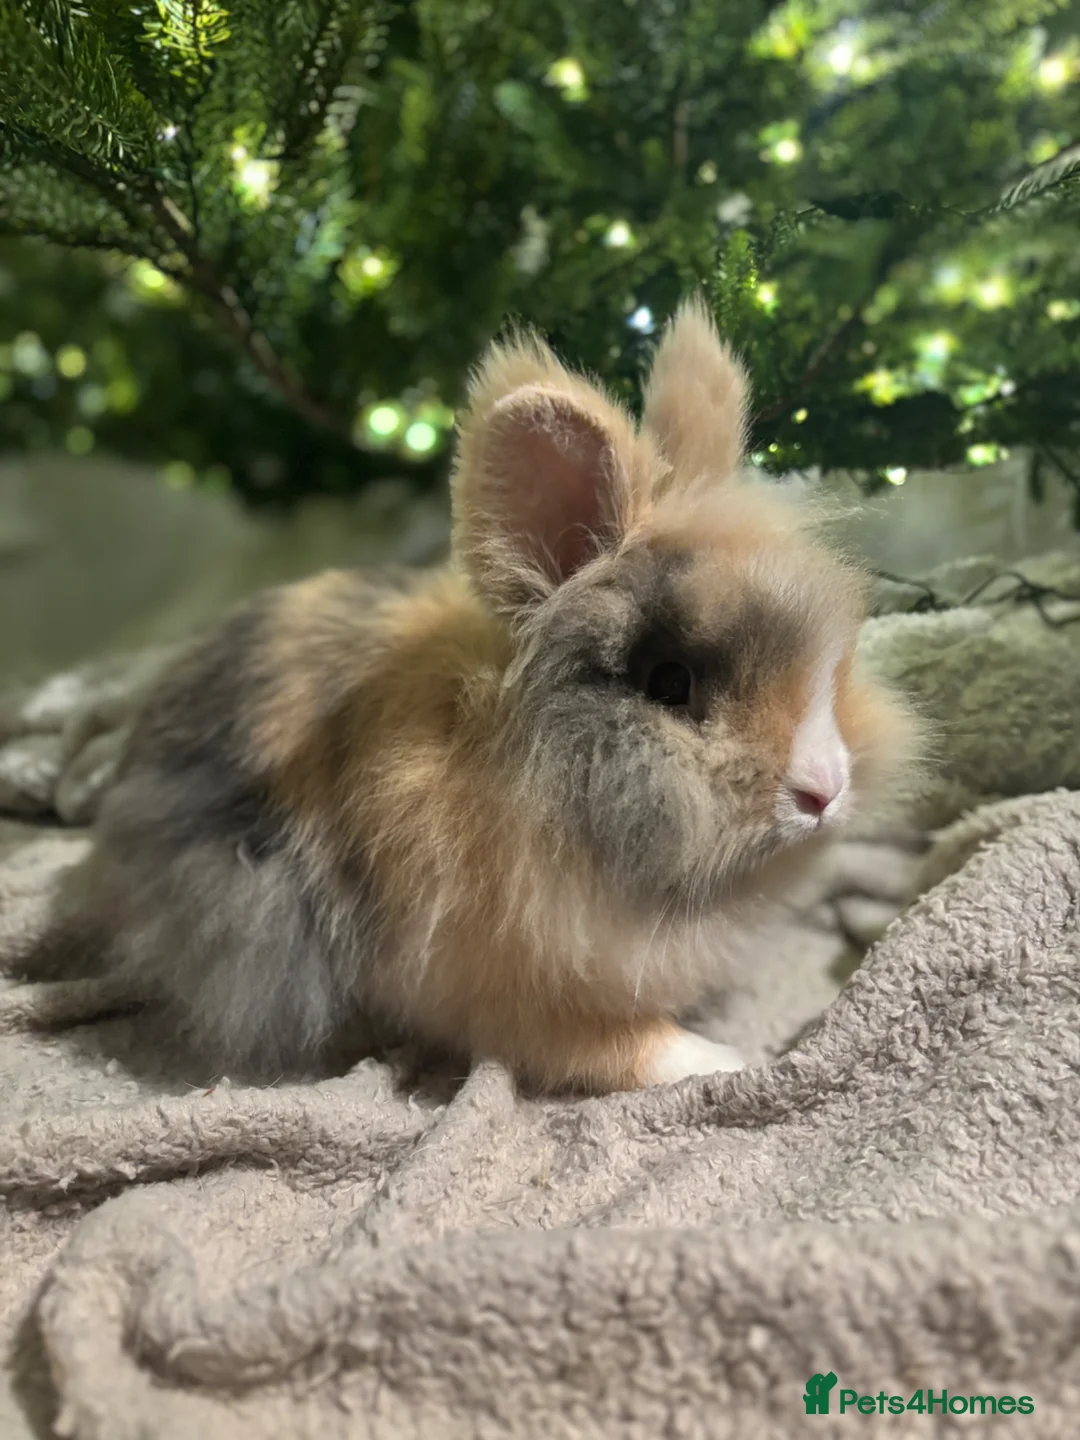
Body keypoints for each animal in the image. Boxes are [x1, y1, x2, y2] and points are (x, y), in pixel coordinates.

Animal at [25, 297, 917, 1093]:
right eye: (670, 683)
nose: (824, 790)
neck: (521, 780)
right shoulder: (496, 989)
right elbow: (615, 1045)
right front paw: (726, 1061)